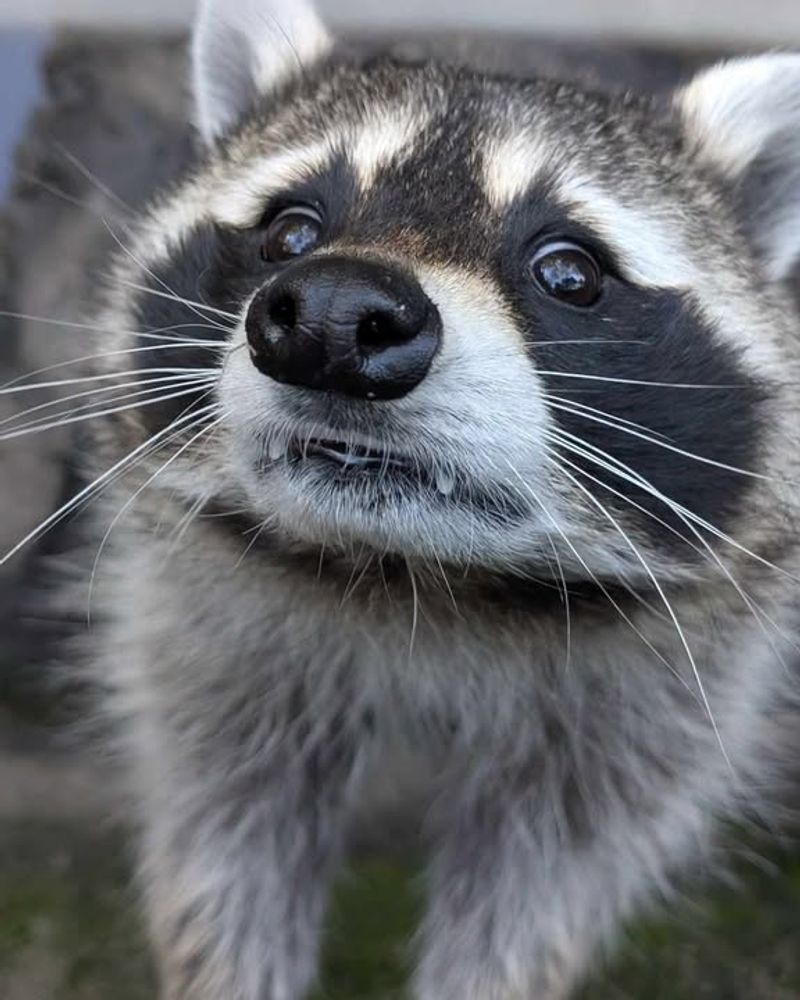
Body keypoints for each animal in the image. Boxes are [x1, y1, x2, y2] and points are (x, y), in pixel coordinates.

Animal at [34, 0, 800, 997]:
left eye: (570, 270)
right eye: (290, 231)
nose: (330, 318)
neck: (415, 574)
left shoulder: (665, 682)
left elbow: (553, 873)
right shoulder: (202, 616)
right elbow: (223, 819)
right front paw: (228, 965)